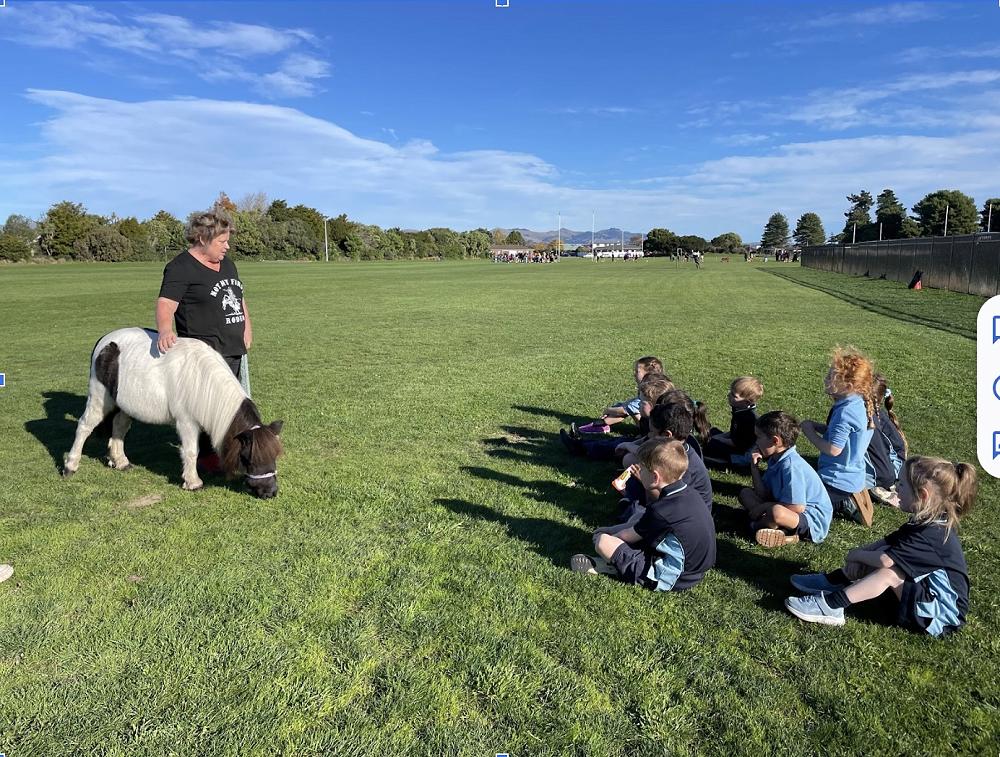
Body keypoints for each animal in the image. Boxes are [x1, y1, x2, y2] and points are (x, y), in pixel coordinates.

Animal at [63, 328, 283, 498]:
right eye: (248, 458)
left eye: (274, 456)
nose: (270, 492)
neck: (201, 378)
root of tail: (105, 340)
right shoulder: (186, 422)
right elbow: (191, 451)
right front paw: (193, 482)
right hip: (99, 399)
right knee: (84, 426)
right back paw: (70, 466)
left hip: (124, 404)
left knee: (119, 427)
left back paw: (120, 461)